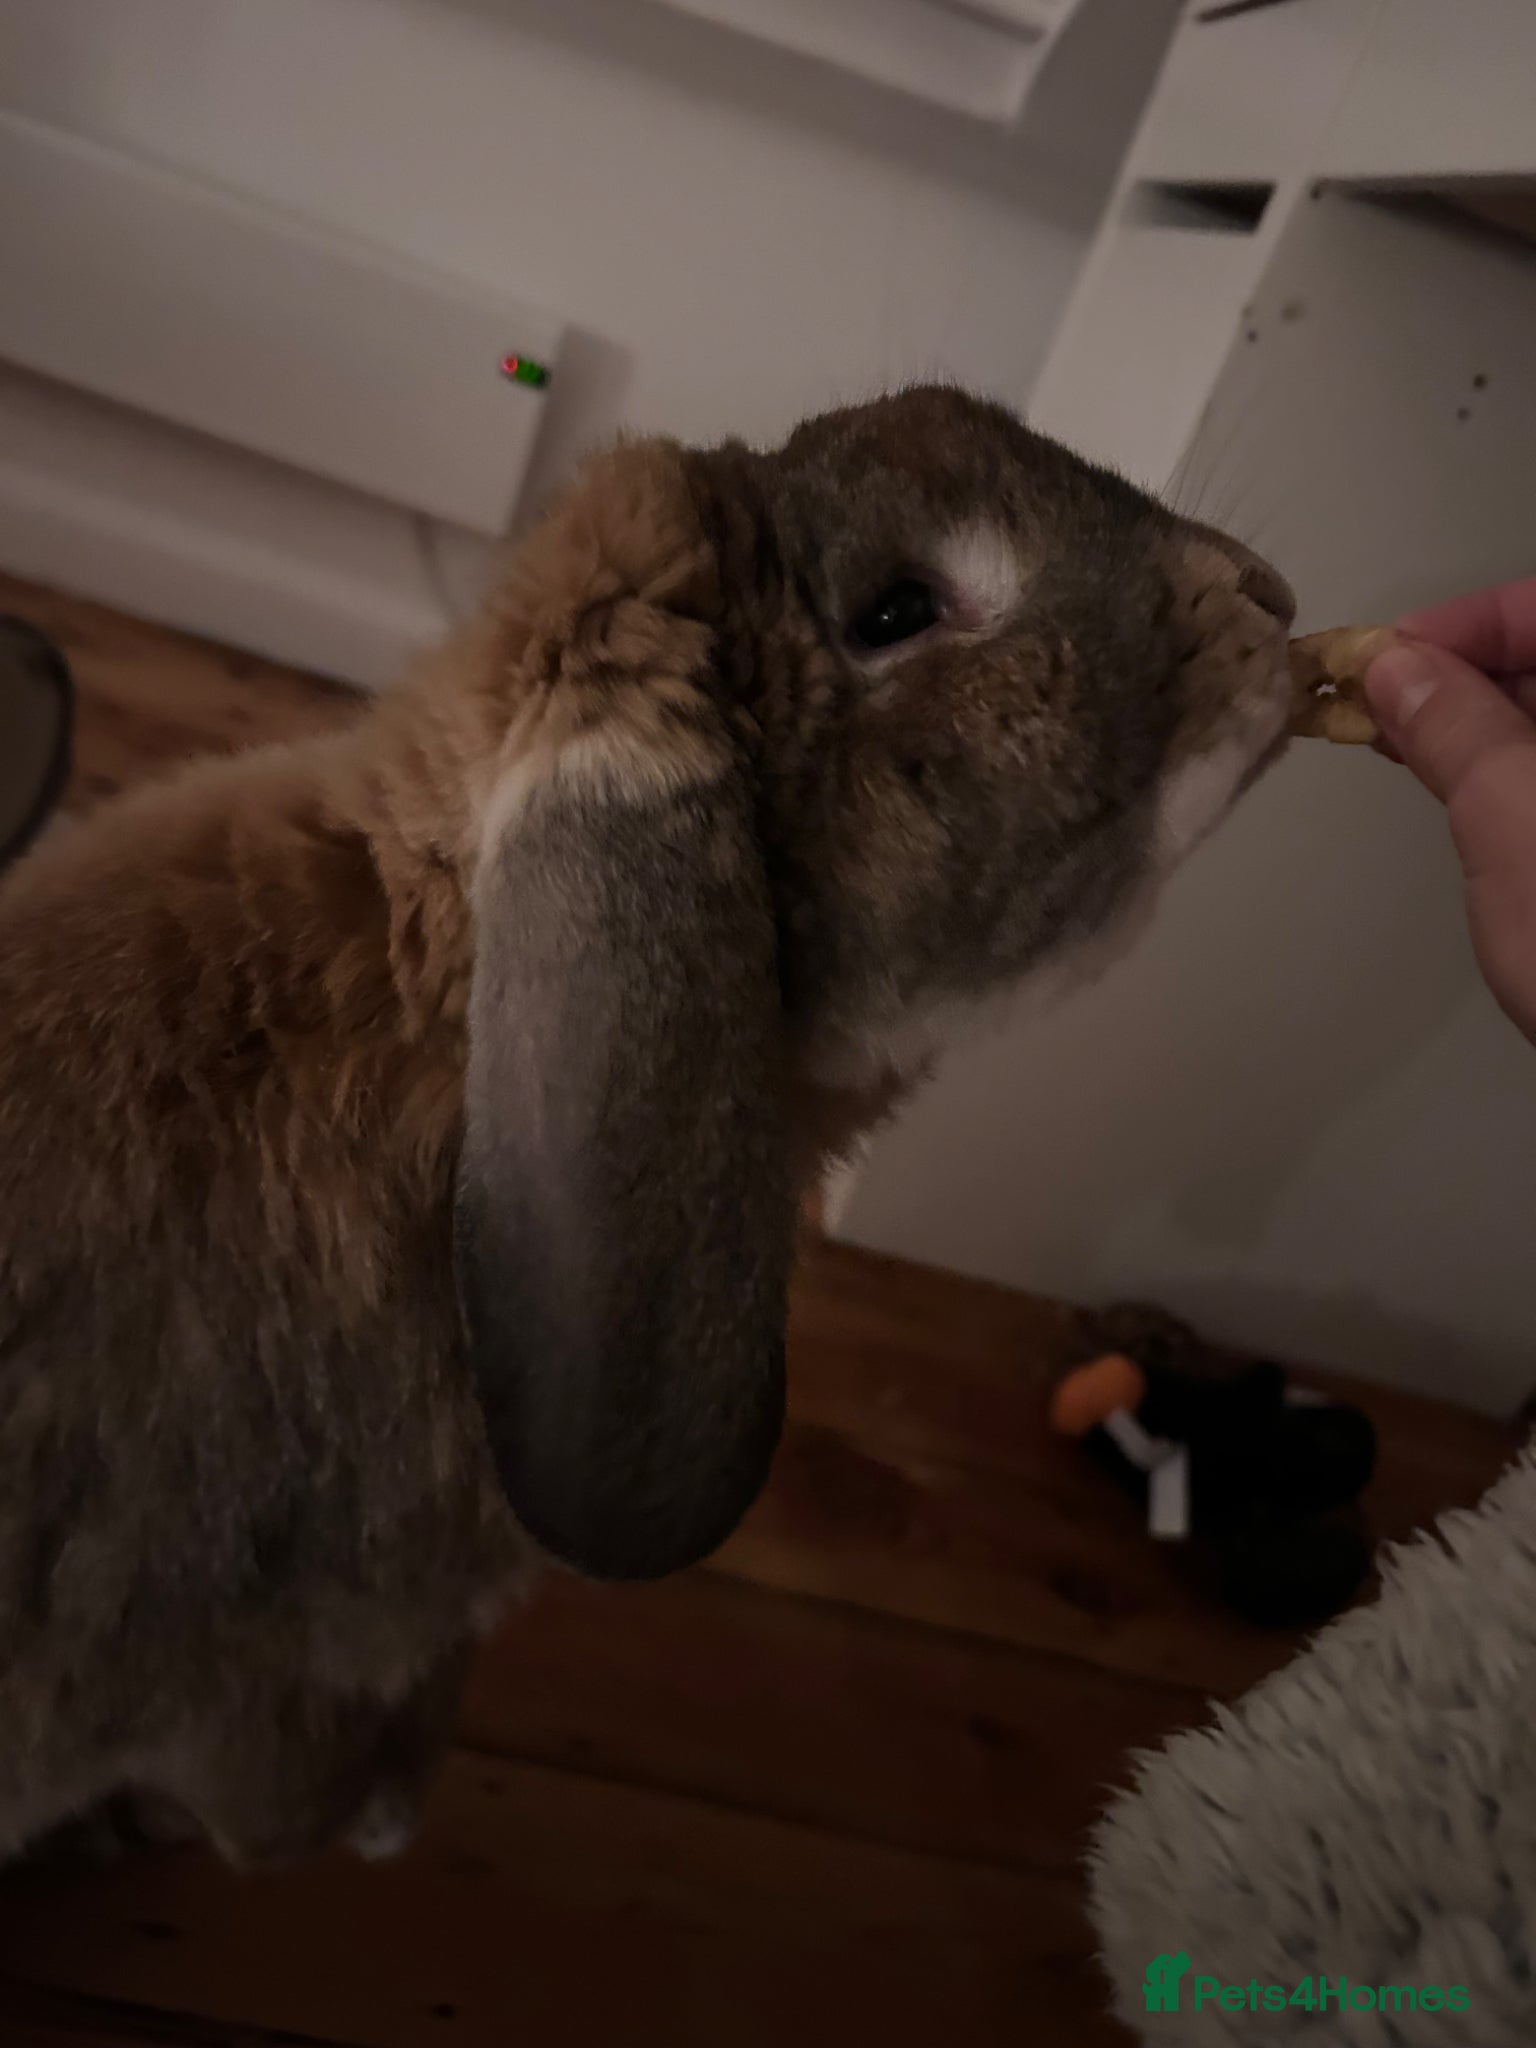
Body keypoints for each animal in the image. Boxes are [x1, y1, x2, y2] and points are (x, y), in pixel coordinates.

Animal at [0, 385, 1296, 1870]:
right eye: (899, 611)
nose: (1268, 597)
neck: (426, 1024)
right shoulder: (258, 1688)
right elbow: (273, 1790)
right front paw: (368, 1819)